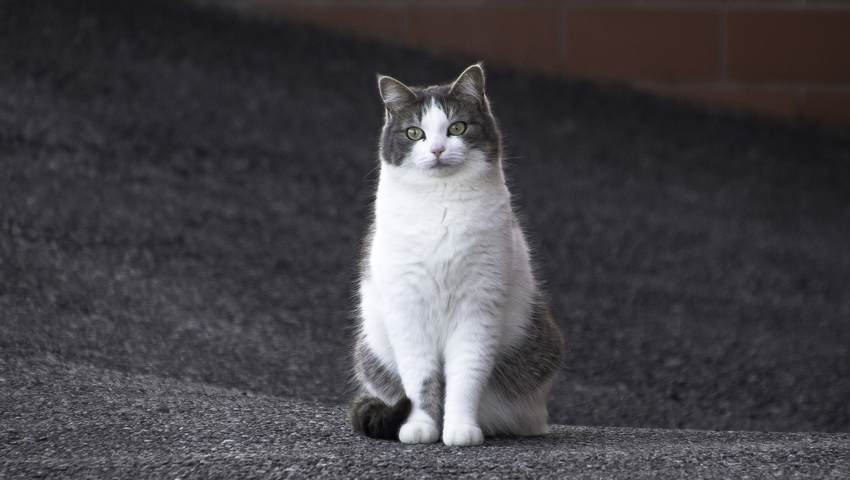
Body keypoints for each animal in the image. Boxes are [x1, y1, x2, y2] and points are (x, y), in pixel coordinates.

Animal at [348, 62, 560, 446]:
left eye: (457, 127)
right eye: (414, 132)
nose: (436, 150)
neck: (441, 203)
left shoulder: (478, 309)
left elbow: (465, 378)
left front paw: (461, 429)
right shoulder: (407, 310)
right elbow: (420, 382)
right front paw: (420, 428)